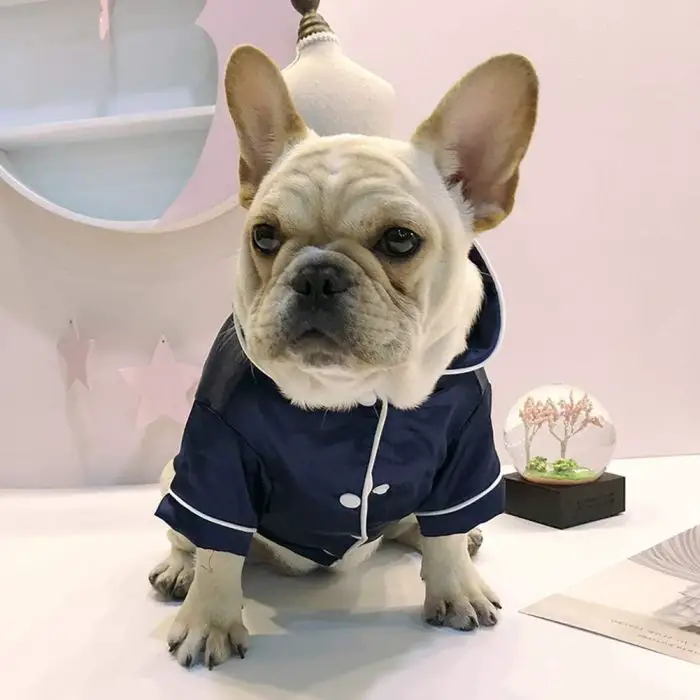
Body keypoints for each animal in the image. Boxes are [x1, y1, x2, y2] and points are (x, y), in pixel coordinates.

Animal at [150, 43, 540, 668]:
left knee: (427, 526)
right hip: (173, 475)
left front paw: (456, 587)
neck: (355, 393)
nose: (316, 274)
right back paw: (177, 571)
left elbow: (448, 532)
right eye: (263, 235)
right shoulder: (216, 458)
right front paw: (208, 620)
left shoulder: (467, 448)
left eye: (400, 240)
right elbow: (217, 551)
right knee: (188, 536)